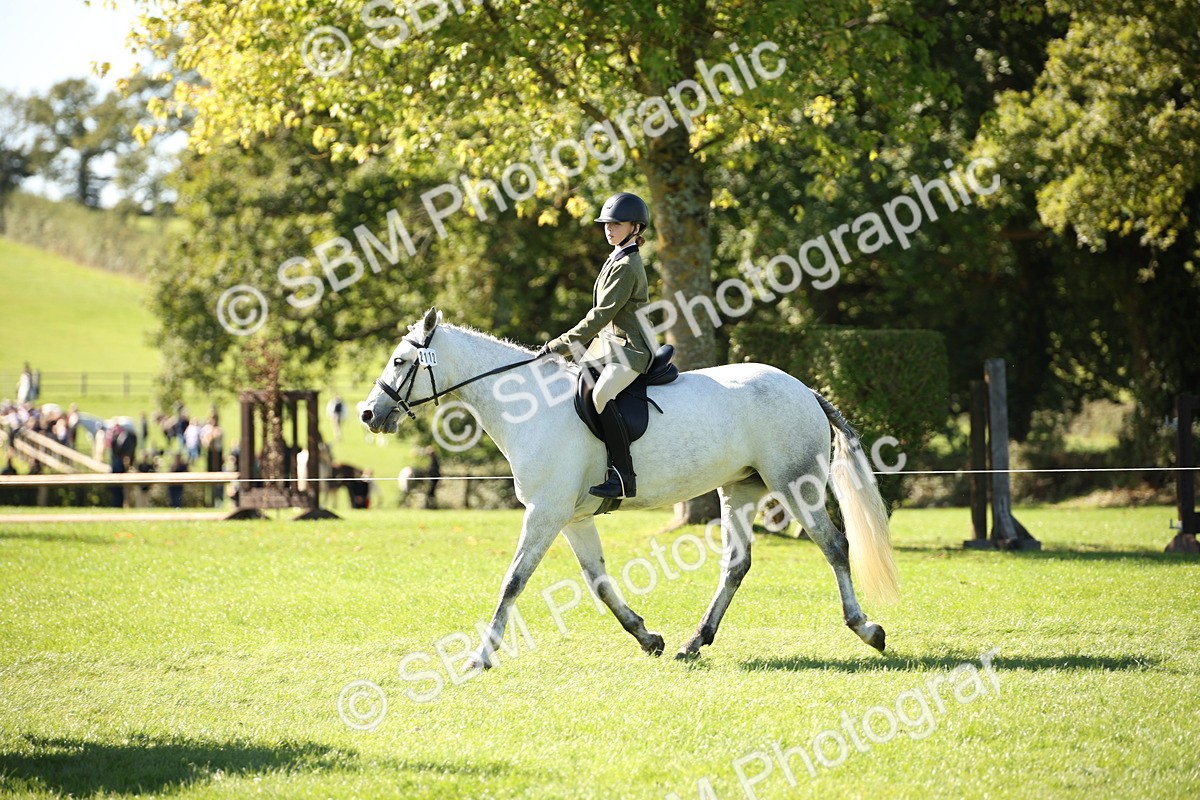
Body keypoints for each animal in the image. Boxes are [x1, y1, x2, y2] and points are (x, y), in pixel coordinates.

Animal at [360, 308, 899, 669]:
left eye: (400, 361)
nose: (368, 414)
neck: (530, 405)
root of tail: (805, 388)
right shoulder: (571, 518)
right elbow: (597, 581)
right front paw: (646, 637)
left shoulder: (545, 512)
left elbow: (513, 580)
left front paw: (481, 657)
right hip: (741, 489)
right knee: (736, 564)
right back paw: (693, 642)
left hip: (793, 483)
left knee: (834, 546)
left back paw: (867, 629)